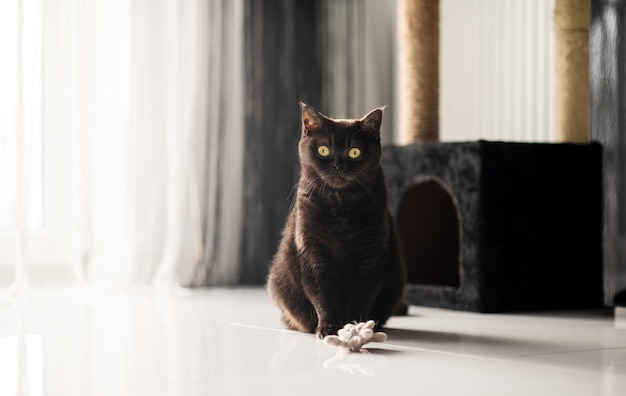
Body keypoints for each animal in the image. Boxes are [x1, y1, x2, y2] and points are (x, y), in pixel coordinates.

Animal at [266, 102, 404, 338]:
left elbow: (361, 296)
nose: (338, 166)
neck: (340, 208)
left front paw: (357, 327)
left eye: (354, 152)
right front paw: (329, 328)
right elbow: (323, 296)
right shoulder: (313, 253)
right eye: (323, 150)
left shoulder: (370, 256)